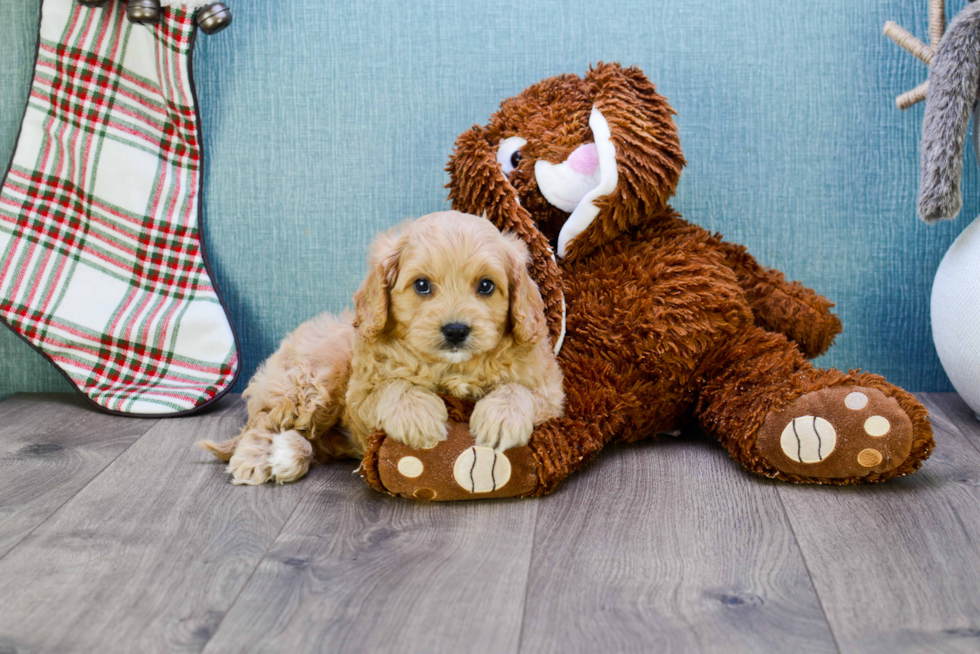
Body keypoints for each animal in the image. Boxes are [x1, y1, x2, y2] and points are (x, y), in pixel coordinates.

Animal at [199, 213, 564, 484]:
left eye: (486, 286)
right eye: (422, 285)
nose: (456, 330)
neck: (453, 366)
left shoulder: (552, 390)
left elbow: (520, 389)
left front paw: (501, 418)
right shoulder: (360, 395)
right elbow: (393, 387)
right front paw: (420, 418)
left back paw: (288, 453)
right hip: (314, 382)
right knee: (262, 421)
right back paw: (256, 459)